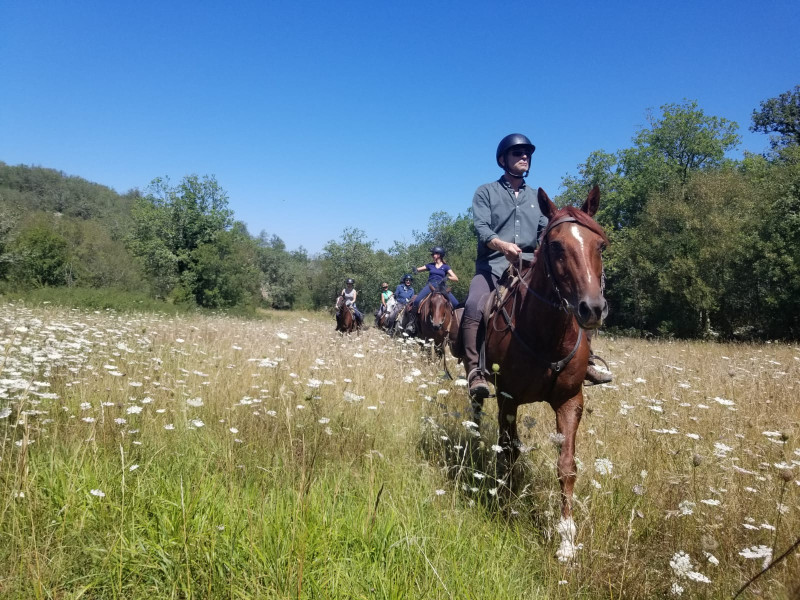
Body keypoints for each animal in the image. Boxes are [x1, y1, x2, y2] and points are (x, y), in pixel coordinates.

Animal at [476, 186, 608, 564]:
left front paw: (566, 539)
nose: (592, 309)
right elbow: (509, 451)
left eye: (601, 245)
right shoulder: (508, 400)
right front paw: (506, 508)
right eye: (556, 246)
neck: (546, 335)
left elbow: (567, 466)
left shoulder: (570, 401)